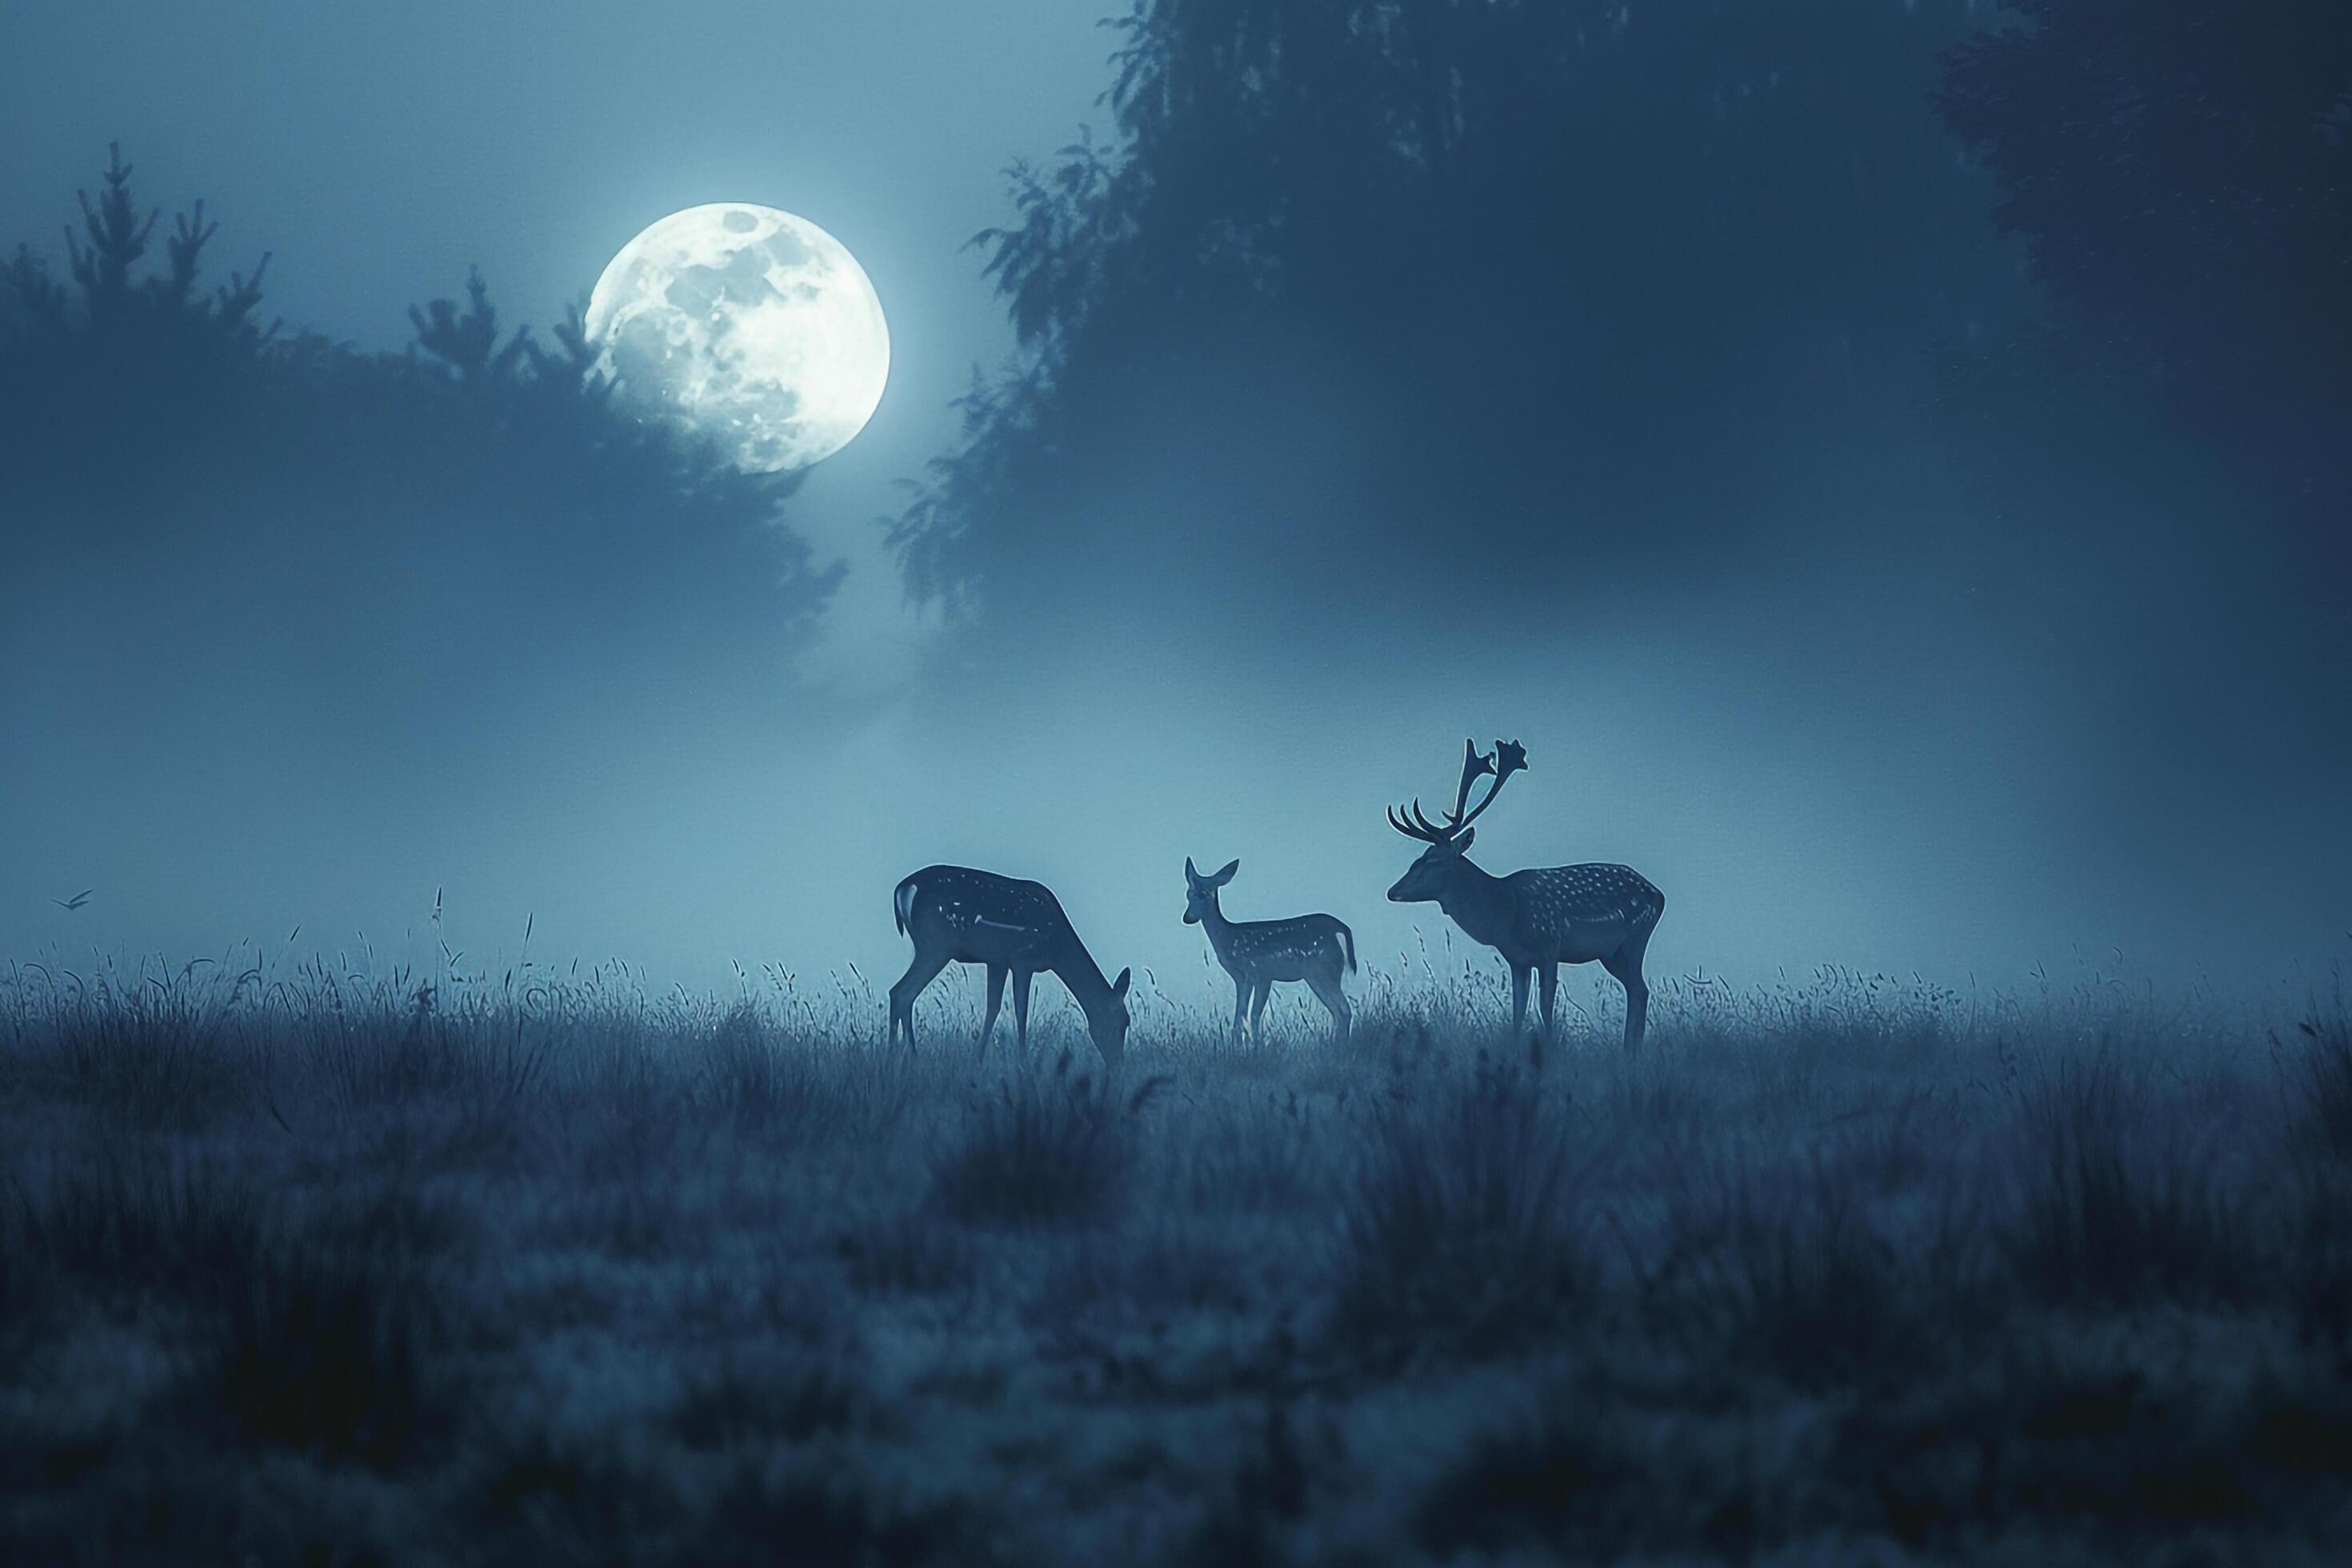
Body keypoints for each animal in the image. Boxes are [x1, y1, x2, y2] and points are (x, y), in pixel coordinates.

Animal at [889, 865, 1129, 1071]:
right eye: (1124, 1022)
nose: (1118, 1064)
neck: (1058, 950)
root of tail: (903, 888)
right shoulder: (1023, 959)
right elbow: (1021, 1011)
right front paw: (1024, 1064)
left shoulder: (997, 961)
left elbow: (993, 1008)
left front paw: (977, 1061)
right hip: (937, 943)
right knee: (902, 992)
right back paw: (908, 1057)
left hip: (931, 946)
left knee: (899, 992)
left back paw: (896, 1055)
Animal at [1176, 860, 1364, 1043]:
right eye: (1188, 894)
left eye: (1203, 894)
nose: (1188, 918)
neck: (1227, 937)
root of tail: (1341, 929)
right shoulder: (1242, 978)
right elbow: (1241, 1019)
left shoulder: (1261, 974)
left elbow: (1253, 1016)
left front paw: (1256, 1047)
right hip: (1317, 975)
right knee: (1338, 1012)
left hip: (1323, 969)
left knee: (1344, 1010)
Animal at [1382, 738, 1665, 1053]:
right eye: (1419, 857)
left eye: (1433, 860)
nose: (1393, 891)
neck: (1506, 913)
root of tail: (1659, 895)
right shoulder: (1516, 959)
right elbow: (1517, 1011)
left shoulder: (1550, 945)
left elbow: (1545, 1006)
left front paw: (1550, 1049)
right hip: (1611, 954)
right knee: (1638, 990)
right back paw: (1630, 1051)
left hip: (1635, 939)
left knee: (1640, 989)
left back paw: (1631, 1051)